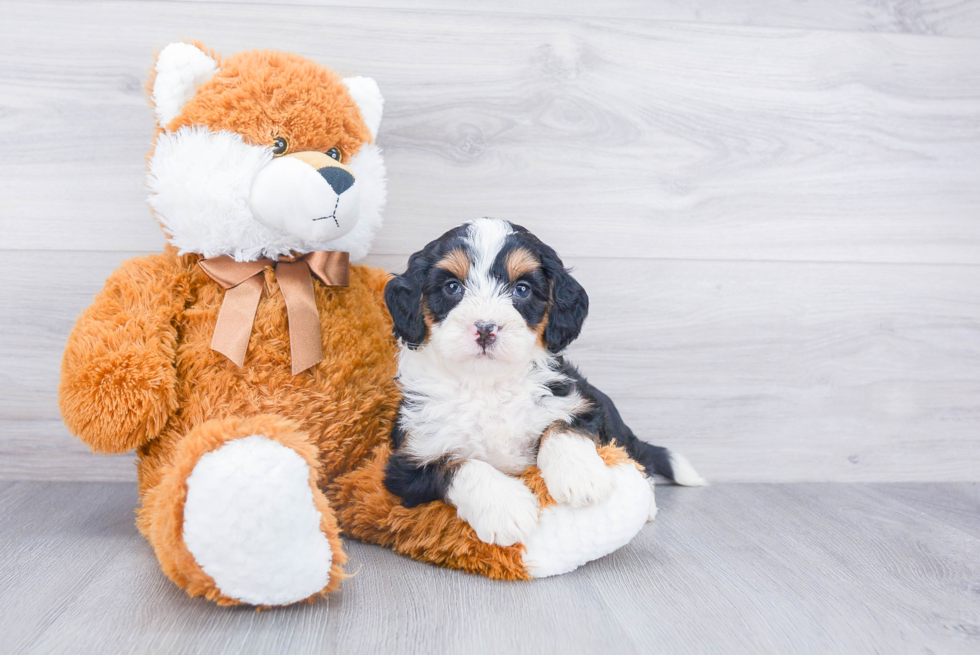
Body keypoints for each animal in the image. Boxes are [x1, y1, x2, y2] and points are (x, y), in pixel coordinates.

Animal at [382, 219, 704, 548]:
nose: (485, 328)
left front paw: (580, 476)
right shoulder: (408, 461)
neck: (488, 384)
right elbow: (460, 465)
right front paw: (506, 507)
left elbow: (562, 426)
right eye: (452, 287)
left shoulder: (579, 403)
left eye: (522, 290)